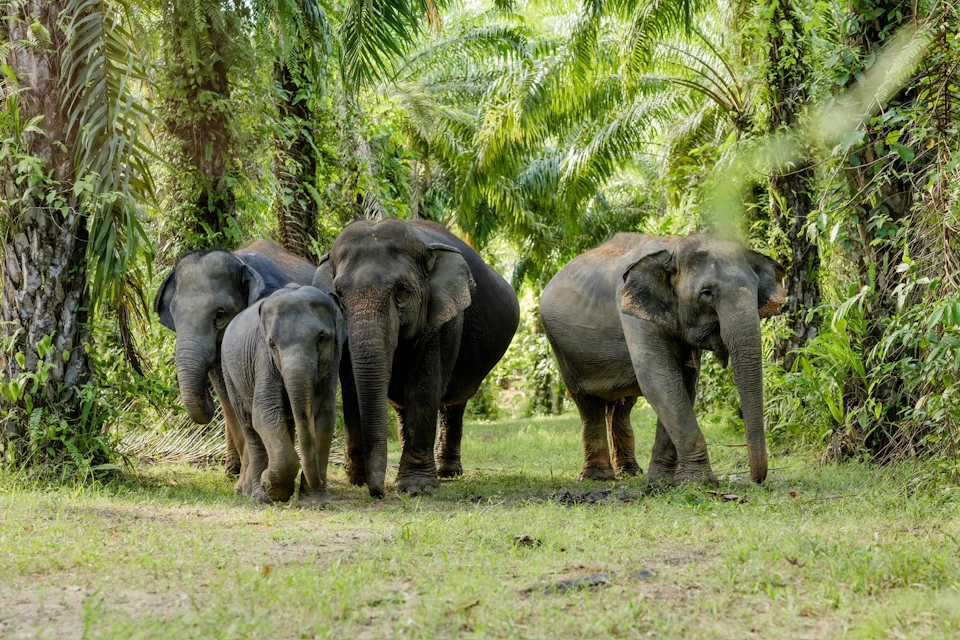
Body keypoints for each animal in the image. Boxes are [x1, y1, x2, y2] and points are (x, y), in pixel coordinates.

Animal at [153, 239, 316, 474]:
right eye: (174, 316)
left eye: (220, 315)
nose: (209, 403)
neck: (241, 262)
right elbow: (227, 394)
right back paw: (231, 468)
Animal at [220, 284, 344, 506]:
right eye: (272, 344)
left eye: (321, 339)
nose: (318, 482)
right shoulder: (263, 359)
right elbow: (265, 414)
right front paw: (272, 488)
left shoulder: (333, 362)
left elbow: (324, 417)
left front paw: (315, 503)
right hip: (230, 374)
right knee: (249, 425)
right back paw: (256, 495)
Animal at [313, 219, 520, 497]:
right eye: (339, 295)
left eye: (401, 292)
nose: (378, 492)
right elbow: (351, 385)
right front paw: (358, 479)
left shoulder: (442, 320)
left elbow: (423, 386)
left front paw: (417, 487)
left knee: (456, 402)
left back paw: (448, 473)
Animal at [539, 233, 785, 485]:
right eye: (707, 293)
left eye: (756, 289)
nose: (755, 479)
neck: (674, 247)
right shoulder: (634, 315)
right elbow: (659, 380)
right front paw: (701, 482)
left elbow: (682, 385)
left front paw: (661, 481)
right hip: (563, 349)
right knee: (588, 403)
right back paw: (597, 477)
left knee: (621, 406)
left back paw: (629, 472)